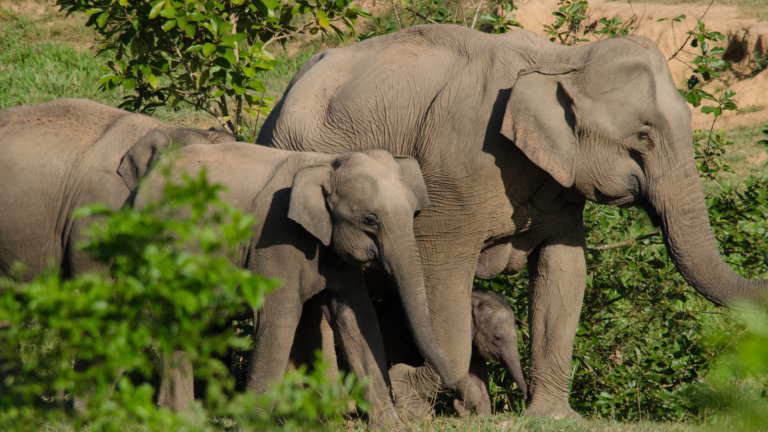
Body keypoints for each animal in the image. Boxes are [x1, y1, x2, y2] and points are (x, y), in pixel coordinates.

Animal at [134, 144, 456, 428]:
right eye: (369, 220)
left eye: (414, 213)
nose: (453, 380)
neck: (327, 163)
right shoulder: (276, 238)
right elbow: (280, 318)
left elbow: (358, 320)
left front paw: (390, 426)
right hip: (161, 252)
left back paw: (178, 419)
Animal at [258, 24, 768, 418]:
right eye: (643, 136)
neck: (560, 60)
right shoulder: (455, 176)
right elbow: (442, 276)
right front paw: (409, 397)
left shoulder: (561, 187)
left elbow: (565, 274)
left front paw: (554, 417)